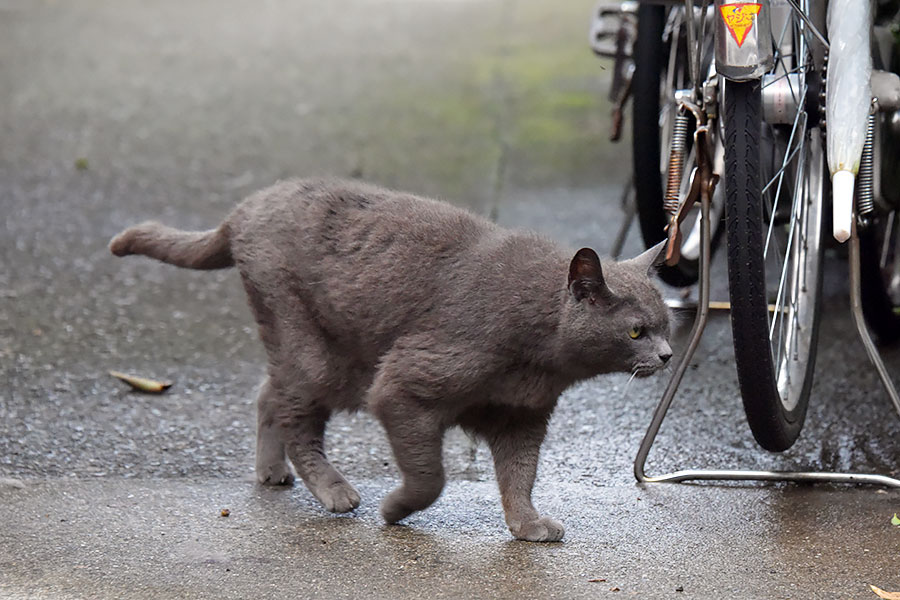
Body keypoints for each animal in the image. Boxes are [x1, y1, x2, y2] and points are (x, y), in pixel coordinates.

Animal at [109, 178, 668, 544]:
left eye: (667, 324)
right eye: (636, 330)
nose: (665, 355)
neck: (539, 359)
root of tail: (245, 209)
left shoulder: (521, 417)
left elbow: (520, 475)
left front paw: (527, 526)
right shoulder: (403, 384)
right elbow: (430, 475)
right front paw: (394, 510)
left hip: (317, 351)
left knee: (270, 394)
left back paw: (271, 471)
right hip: (311, 345)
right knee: (295, 416)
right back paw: (335, 491)